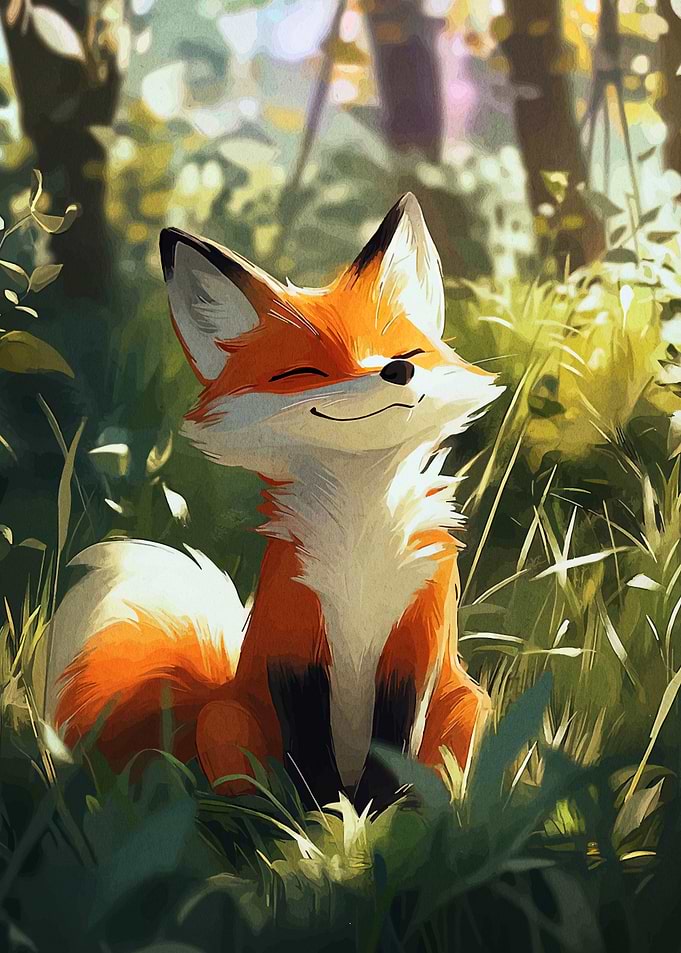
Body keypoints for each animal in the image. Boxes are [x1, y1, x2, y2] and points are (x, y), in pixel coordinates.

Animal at [46, 193, 503, 809]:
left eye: (406, 349)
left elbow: (394, 750)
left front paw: (375, 817)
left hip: (468, 708)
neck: (360, 545)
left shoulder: (414, 643)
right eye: (304, 371)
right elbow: (308, 753)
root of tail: (210, 691)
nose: (398, 370)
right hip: (226, 719)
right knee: (243, 796)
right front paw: (327, 815)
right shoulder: (296, 640)